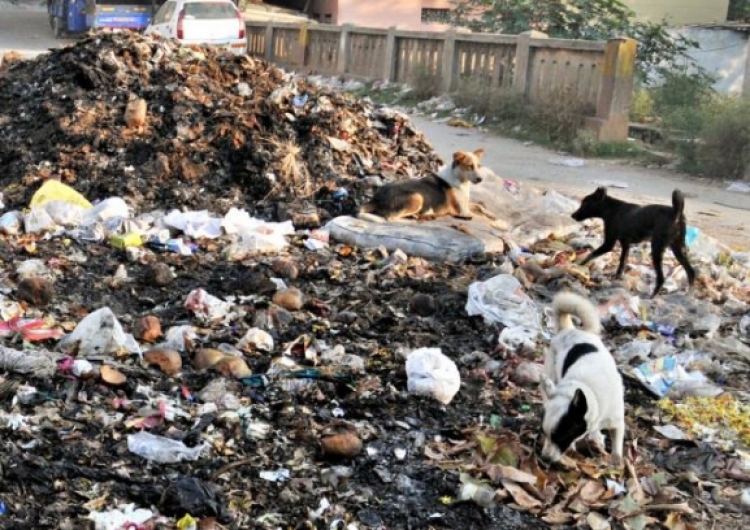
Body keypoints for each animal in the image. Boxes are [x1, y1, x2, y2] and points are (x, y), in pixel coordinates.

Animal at [358, 150, 488, 222]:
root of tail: (376, 198)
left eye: (479, 166)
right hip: (417, 197)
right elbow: (487, 219)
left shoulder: (467, 206)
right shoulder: (464, 212)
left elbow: (480, 207)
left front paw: (486, 211)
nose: (480, 179)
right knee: (390, 218)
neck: (459, 178)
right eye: (470, 166)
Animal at [544, 290, 624, 464]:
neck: (588, 390)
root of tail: (569, 330)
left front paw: (616, 460)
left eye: (561, 436)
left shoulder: (617, 422)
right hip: (551, 370)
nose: (544, 458)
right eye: (544, 433)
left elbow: (617, 445)